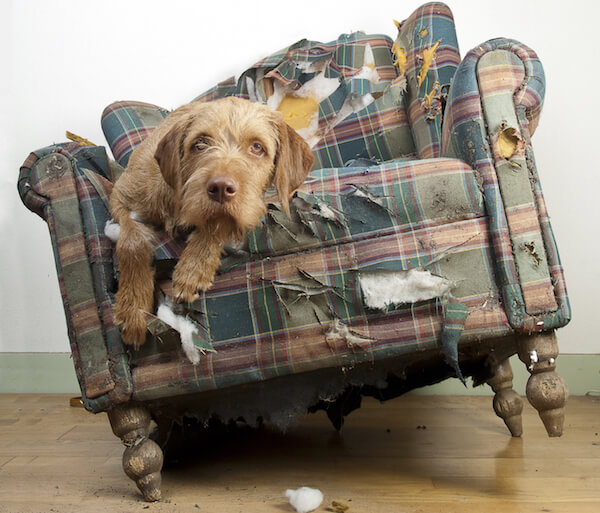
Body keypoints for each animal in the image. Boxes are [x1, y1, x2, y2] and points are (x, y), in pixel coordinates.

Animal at [109, 97, 314, 347]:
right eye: (200, 144)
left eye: (257, 147)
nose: (220, 188)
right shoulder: (120, 197)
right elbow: (131, 242)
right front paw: (133, 307)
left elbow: (218, 224)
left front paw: (194, 267)